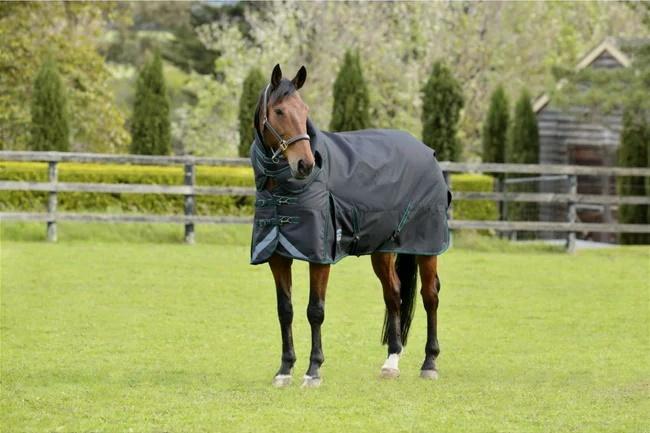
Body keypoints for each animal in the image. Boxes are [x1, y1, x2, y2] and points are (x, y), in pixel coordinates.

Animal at [250, 64, 450, 388]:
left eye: (304, 110)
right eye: (279, 111)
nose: (305, 164)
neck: (282, 190)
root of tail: (427, 153)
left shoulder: (320, 257)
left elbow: (315, 311)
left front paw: (313, 370)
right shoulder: (277, 256)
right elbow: (285, 311)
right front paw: (284, 369)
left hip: (427, 247)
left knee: (430, 296)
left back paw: (429, 362)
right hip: (384, 249)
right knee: (393, 294)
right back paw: (391, 361)